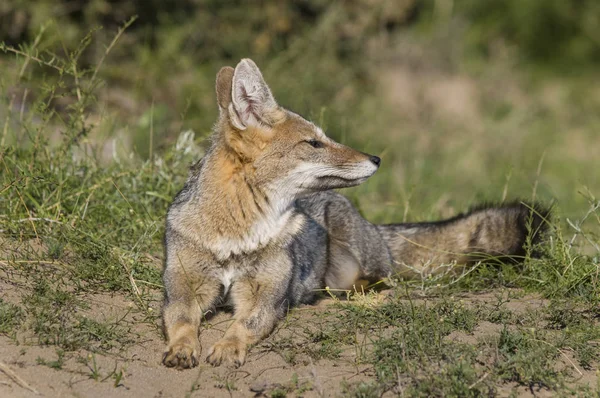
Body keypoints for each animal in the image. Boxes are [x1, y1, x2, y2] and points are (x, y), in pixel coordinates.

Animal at [161, 57, 548, 368]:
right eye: (314, 143)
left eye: (323, 138)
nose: (376, 159)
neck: (238, 234)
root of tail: (374, 226)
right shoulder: (182, 287)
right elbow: (179, 320)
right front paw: (182, 348)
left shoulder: (266, 296)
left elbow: (244, 324)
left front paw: (227, 347)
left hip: (352, 247)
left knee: (382, 279)